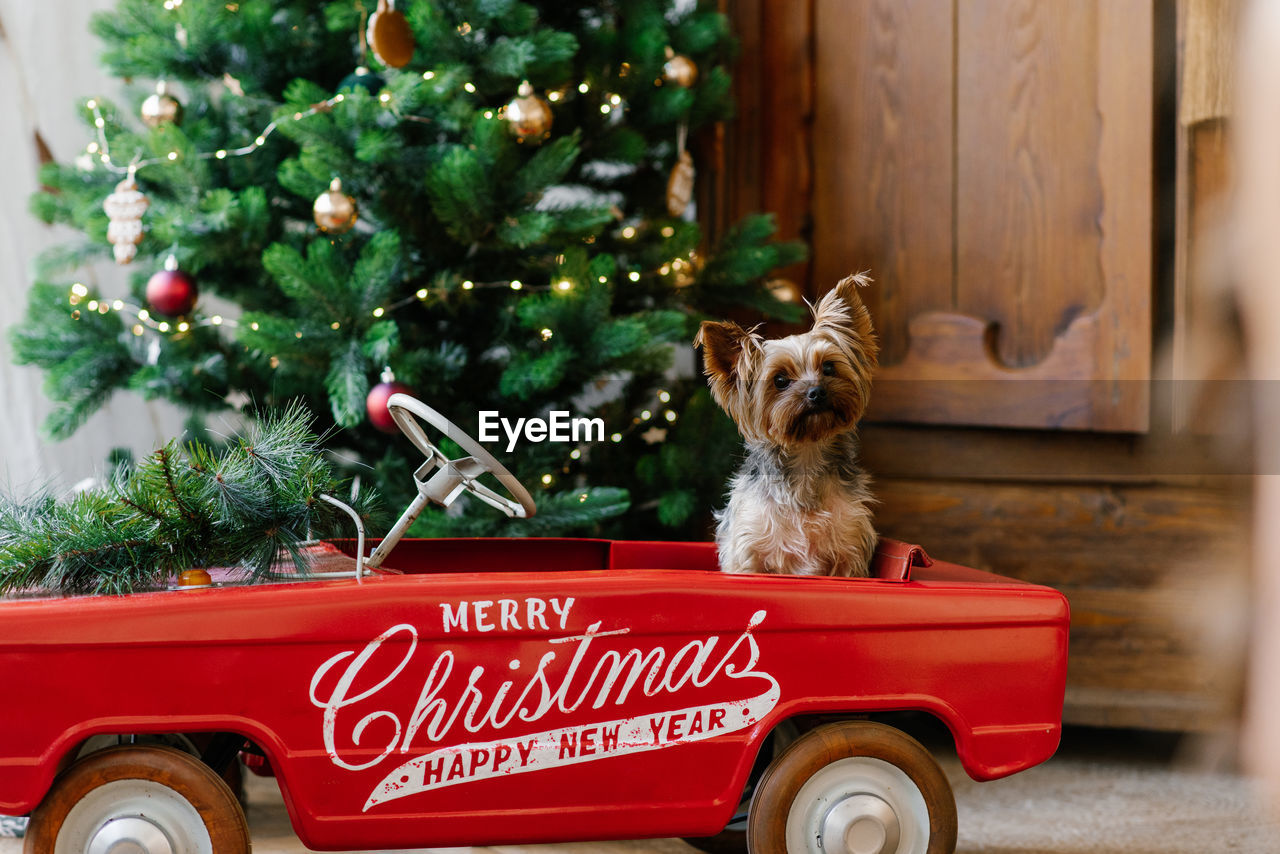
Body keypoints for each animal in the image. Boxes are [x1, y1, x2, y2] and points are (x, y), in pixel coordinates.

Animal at [691, 273, 880, 578]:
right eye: (780, 380)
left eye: (829, 367)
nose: (817, 392)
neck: (806, 454)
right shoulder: (749, 553)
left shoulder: (850, 552)